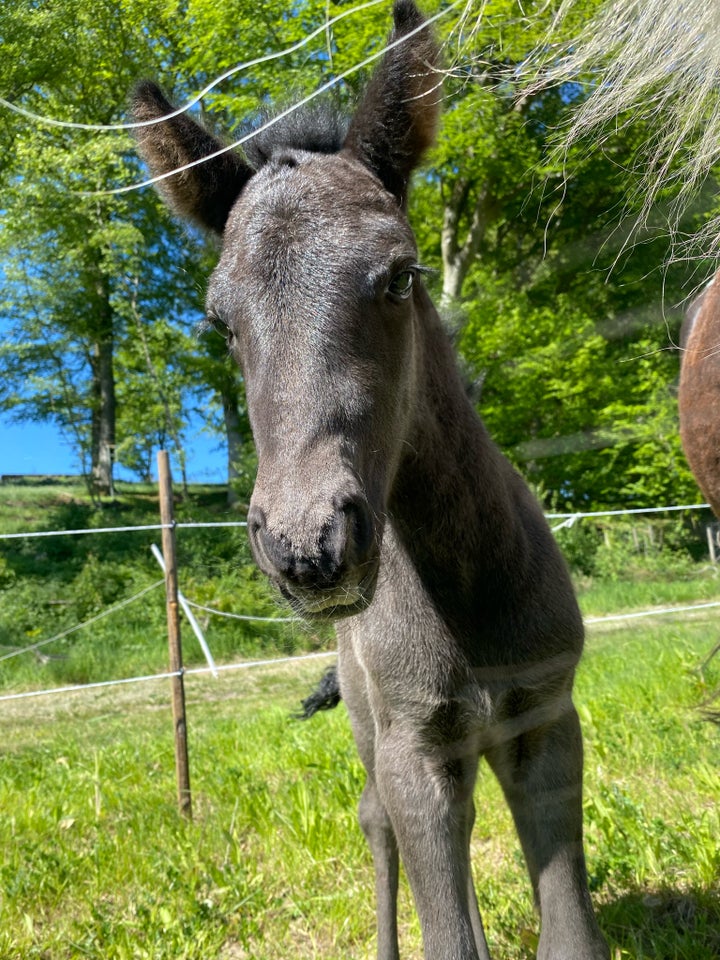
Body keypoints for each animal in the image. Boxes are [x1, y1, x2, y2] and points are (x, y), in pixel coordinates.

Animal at [134, 3, 608, 956]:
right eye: (220, 320)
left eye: (398, 277)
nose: (307, 544)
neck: (464, 585)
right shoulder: (411, 750)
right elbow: (444, 929)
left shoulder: (545, 718)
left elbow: (571, 933)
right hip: (373, 729)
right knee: (374, 820)